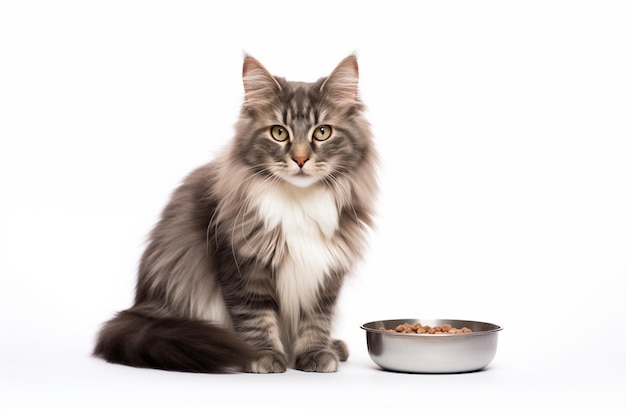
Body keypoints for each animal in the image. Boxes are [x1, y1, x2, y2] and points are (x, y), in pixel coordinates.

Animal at [92, 53, 376, 372]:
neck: (298, 201)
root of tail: (140, 309)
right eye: (279, 132)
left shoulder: (326, 271)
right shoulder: (242, 264)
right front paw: (263, 356)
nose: (301, 159)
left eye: (322, 132)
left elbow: (316, 320)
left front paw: (315, 353)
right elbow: (255, 315)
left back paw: (334, 347)